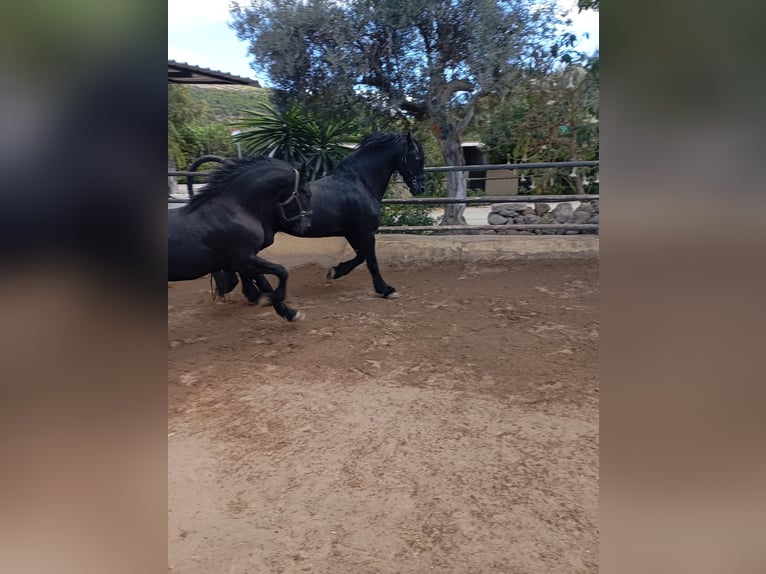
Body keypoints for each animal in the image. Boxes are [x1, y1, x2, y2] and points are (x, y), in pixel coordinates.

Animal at [168, 155, 312, 322]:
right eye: (307, 193)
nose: (306, 226)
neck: (233, 210)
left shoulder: (243, 261)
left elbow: (264, 283)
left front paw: (288, 312)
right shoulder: (244, 259)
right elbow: (281, 271)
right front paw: (270, 300)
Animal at [210, 131, 425, 302]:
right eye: (417, 157)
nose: (420, 188)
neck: (359, 182)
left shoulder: (353, 233)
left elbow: (360, 257)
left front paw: (334, 272)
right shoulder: (364, 232)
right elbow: (370, 261)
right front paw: (386, 289)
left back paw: (252, 292)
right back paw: (255, 293)